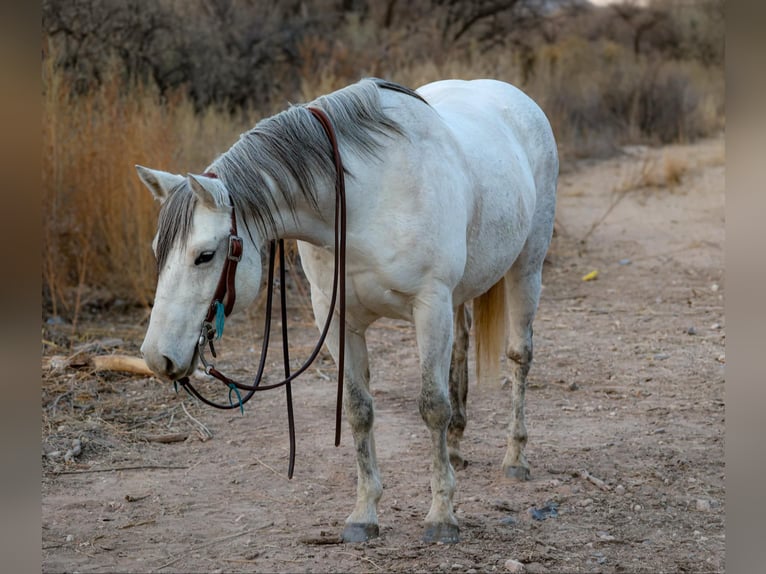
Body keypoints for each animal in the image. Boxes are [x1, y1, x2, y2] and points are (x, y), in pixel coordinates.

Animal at [136, 77, 558, 544]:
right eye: (158, 251)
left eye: (205, 255)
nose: (157, 356)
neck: (364, 199)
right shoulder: (337, 319)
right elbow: (359, 411)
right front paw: (364, 513)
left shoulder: (430, 306)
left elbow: (432, 406)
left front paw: (442, 515)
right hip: (461, 295)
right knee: (462, 352)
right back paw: (458, 447)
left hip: (526, 268)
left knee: (519, 357)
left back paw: (515, 457)